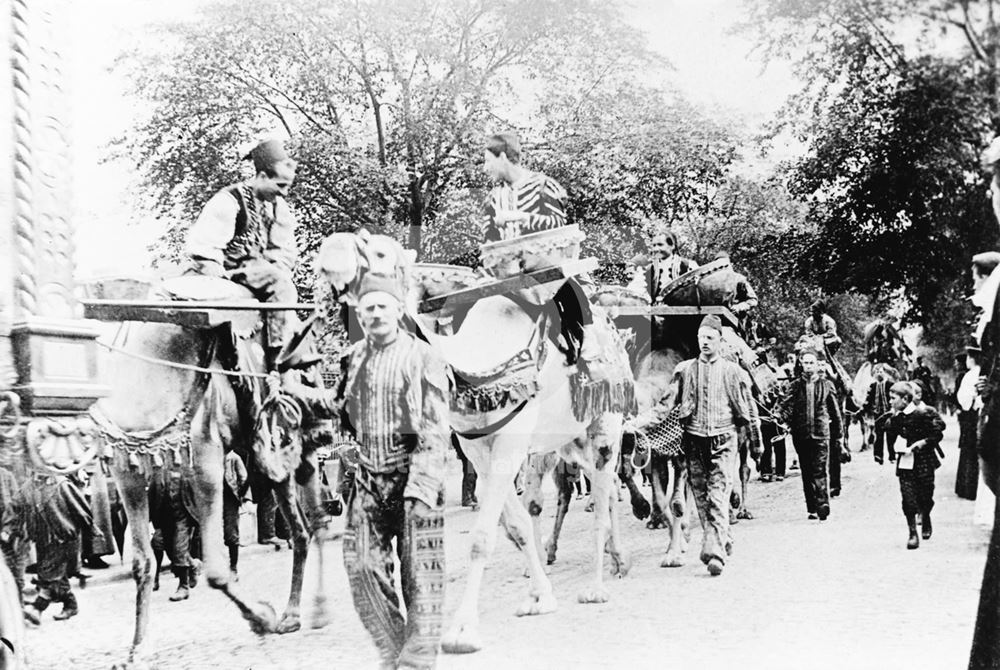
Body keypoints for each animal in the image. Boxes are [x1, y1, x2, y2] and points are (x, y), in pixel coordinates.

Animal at [86, 276, 328, 668]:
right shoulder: (128, 468)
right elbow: (141, 561)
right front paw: (137, 650)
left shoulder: (205, 457)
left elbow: (215, 567)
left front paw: (261, 619)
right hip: (265, 461)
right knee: (301, 529)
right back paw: (292, 615)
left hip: (302, 447)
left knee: (317, 520)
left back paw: (315, 611)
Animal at [316, 231, 636, 656]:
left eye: (379, 250)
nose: (328, 257)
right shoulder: (476, 448)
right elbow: (516, 524)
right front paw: (540, 597)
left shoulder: (509, 443)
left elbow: (482, 538)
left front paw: (462, 630)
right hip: (565, 441)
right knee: (604, 489)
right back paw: (618, 561)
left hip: (605, 422)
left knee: (602, 496)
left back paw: (597, 587)